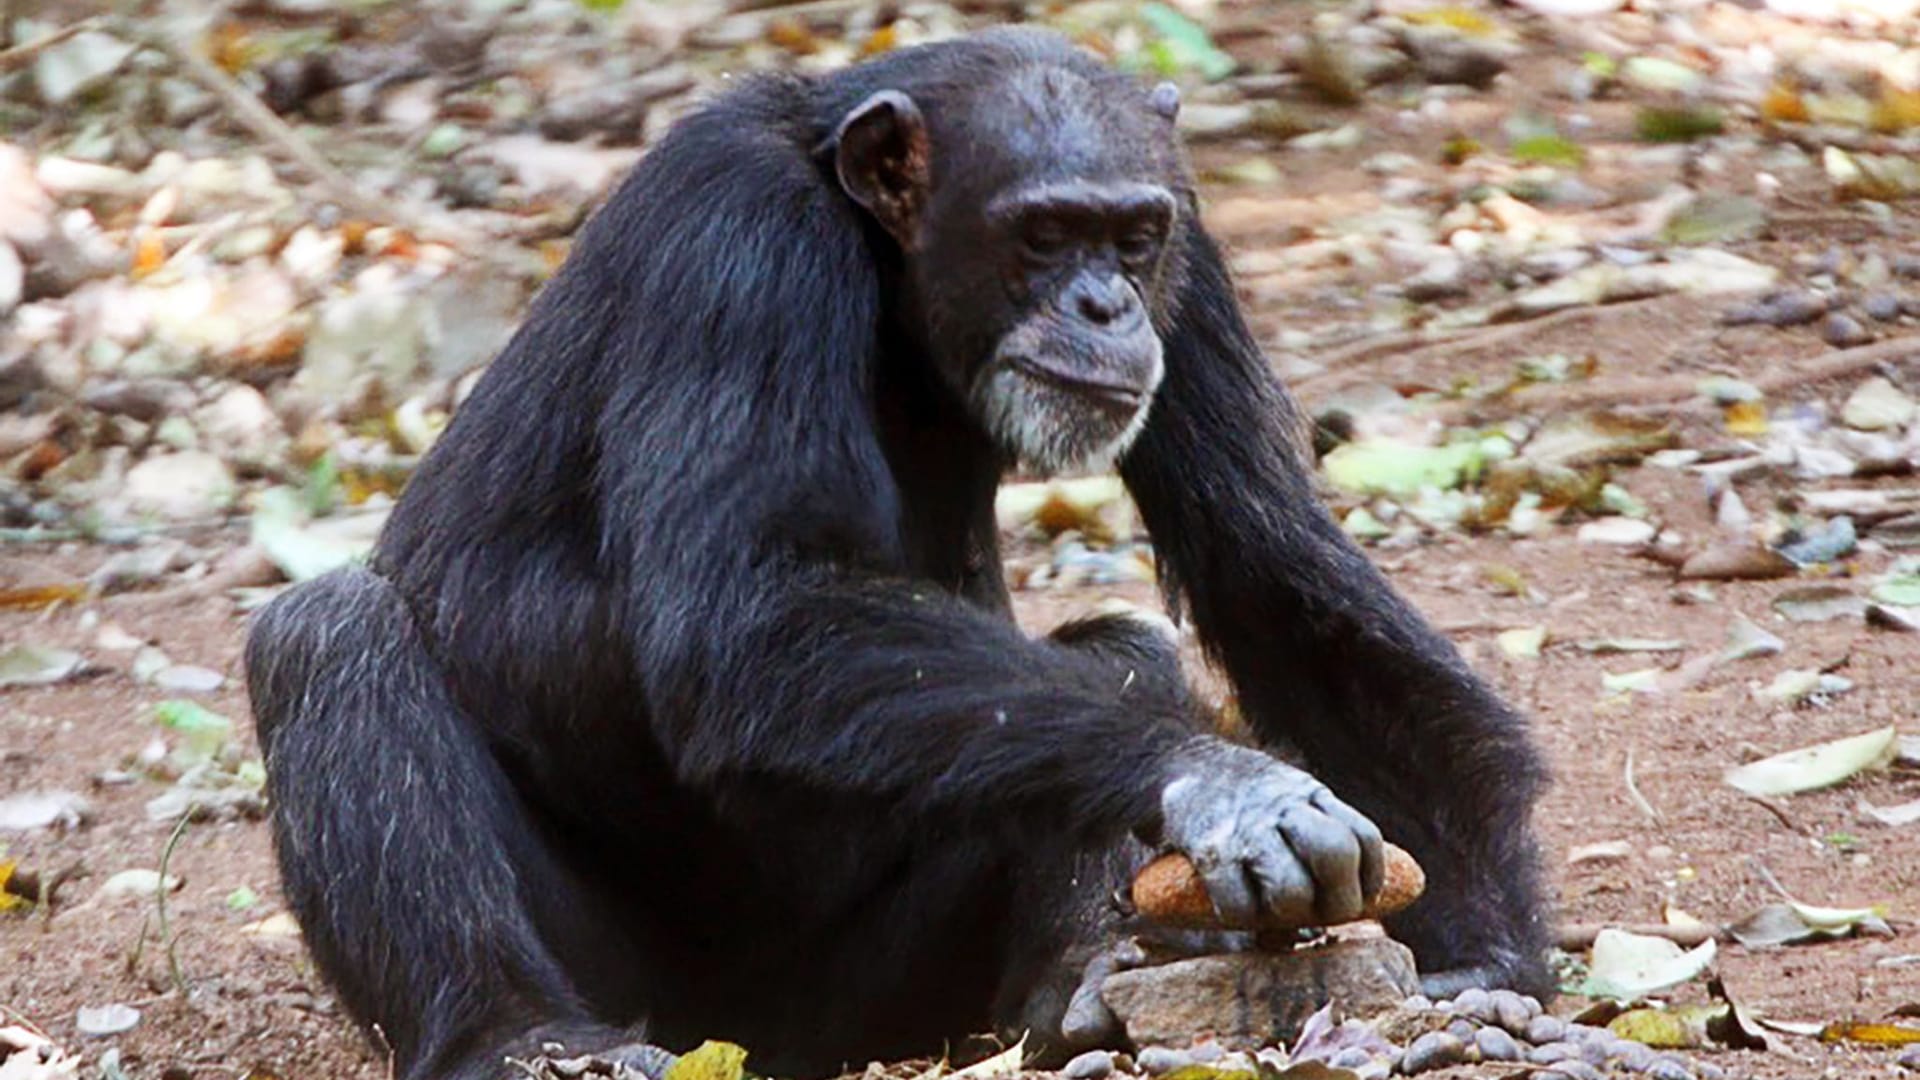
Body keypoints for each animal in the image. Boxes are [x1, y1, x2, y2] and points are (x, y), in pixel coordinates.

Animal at [247, 27, 1551, 1076]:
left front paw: (1488, 943)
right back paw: (523, 1036)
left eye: (1134, 238)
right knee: (326, 634)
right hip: (647, 987)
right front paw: (1223, 782)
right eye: (1043, 235)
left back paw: (1075, 983)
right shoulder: (735, 242)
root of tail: (753, 1038)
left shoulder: (1200, 268)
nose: (1106, 306)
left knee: (1117, 651)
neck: (880, 251)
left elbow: (1267, 558)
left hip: (880, 994)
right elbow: (751, 616)